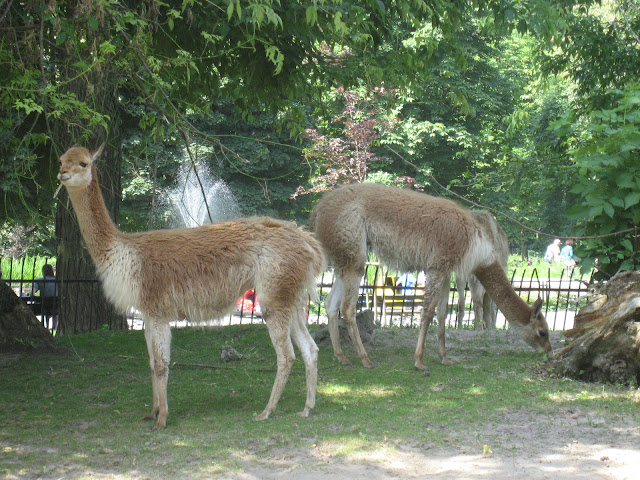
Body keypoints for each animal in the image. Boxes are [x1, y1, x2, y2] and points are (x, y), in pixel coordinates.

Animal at [57, 144, 325, 429]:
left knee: (286, 355)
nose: (62, 174)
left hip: (274, 294)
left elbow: (162, 364)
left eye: (84, 163)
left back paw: (266, 411)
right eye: (61, 160)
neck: (125, 252)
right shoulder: (147, 314)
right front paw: (152, 411)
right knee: (310, 349)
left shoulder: (159, 311)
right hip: (290, 296)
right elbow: (151, 362)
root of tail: (309, 242)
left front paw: (162, 419)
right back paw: (307, 408)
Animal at [310, 183, 551, 371]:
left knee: (331, 304)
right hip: (352, 253)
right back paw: (365, 359)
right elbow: (427, 312)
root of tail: (319, 209)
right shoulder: (436, 266)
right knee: (348, 308)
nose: (548, 351)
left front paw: (445, 358)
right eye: (542, 332)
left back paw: (342, 357)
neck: (476, 246)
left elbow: (443, 313)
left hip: (344, 257)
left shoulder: (445, 271)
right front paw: (419, 361)